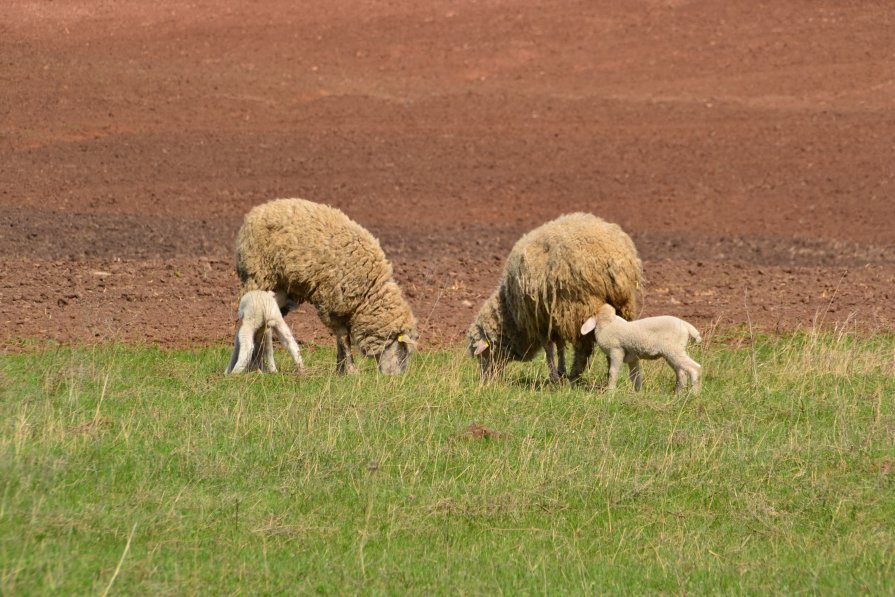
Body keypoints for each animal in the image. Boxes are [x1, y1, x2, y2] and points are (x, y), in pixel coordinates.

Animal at [238, 198, 420, 374]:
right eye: (403, 351)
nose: (395, 378)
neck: (369, 293)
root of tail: (257, 211)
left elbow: (340, 340)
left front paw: (340, 369)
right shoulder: (332, 305)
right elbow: (344, 338)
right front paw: (350, 370)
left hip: (280, 292)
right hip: (258, 277)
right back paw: (255, 367)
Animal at [468, 213, 644, 382]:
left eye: (483, 355)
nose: (485, 381)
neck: (510, 313)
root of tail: (614, 258)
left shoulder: (540, 319)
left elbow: (549, 349)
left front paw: (554, 377)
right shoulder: (554, 317)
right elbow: (559, 346)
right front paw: (560, 371)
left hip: (579, 305)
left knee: (583, 348)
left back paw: (575, 376)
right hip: (623, 304)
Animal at [580, 304, 708, 394]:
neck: (607, 323)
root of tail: (687, 326)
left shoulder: (616, 351)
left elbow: (613, 372)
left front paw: (610, 392)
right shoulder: (632, 358)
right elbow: (635, 376)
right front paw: (638, 392)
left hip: (675, 350)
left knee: (695, 368)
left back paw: (693, 395)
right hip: (671, 353)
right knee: (681, 374)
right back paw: (677, 394)